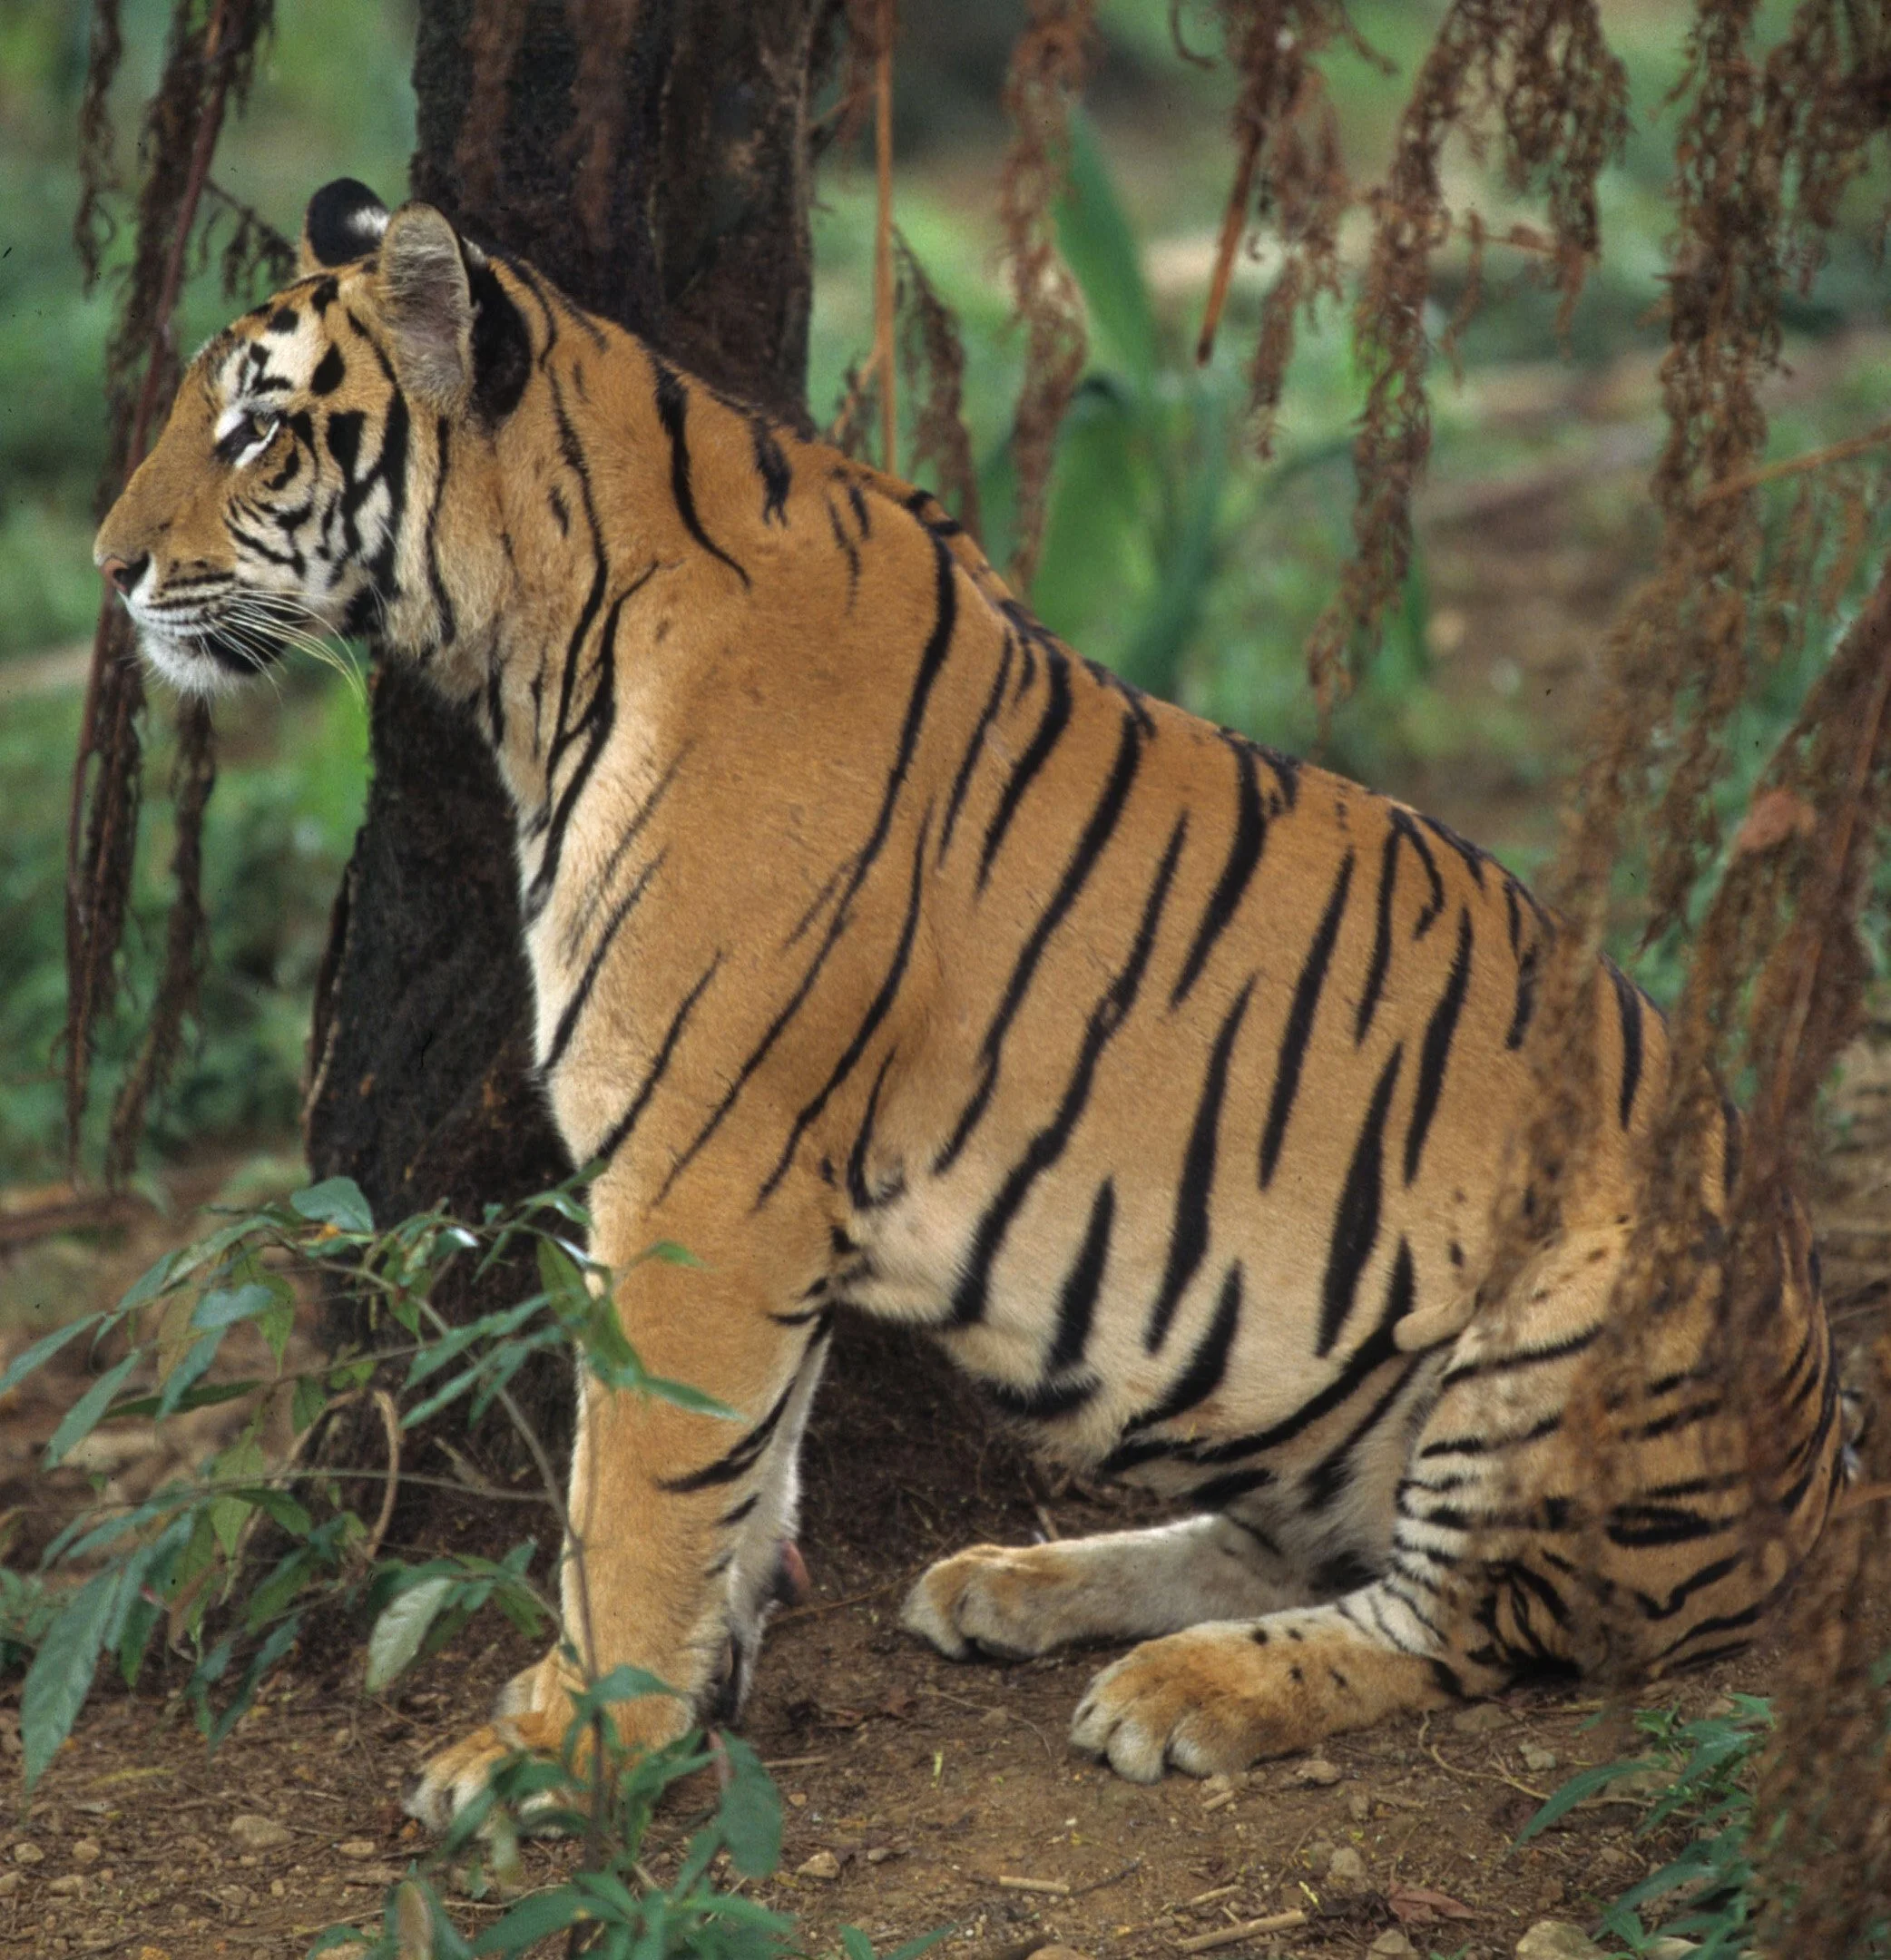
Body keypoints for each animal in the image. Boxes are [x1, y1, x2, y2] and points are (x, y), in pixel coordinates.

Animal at [94, 178, 1847, 1821]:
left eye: (254, 429)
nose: (112, 572)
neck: (539, 650)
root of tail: (1828, 1443)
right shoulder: (733, 1194)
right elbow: (740, 1474)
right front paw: (649, 1697)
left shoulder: (695, 1182)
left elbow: (640, 1488)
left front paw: (574, 1752)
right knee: (1301, 1546)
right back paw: (1013, 1585)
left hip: (1560, 1337)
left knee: (1458, 1620)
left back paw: (1181, 1690)